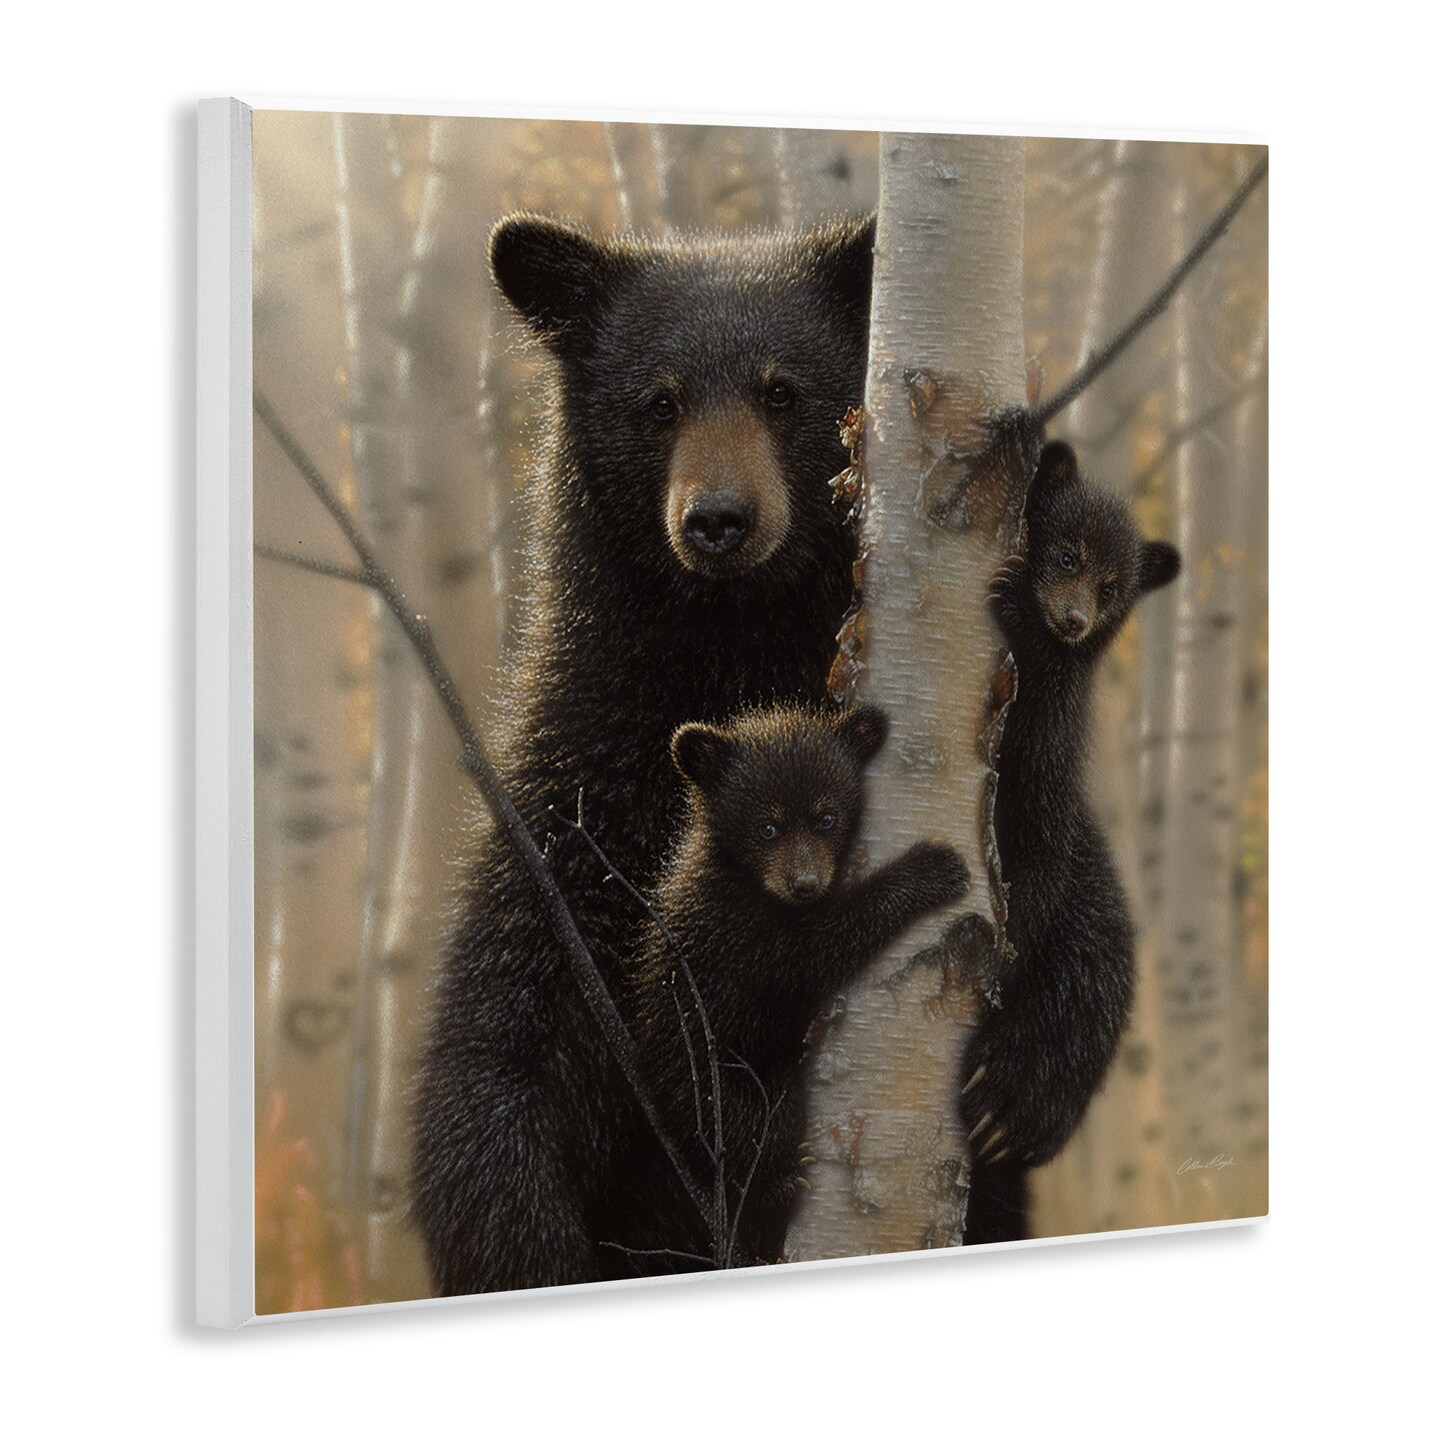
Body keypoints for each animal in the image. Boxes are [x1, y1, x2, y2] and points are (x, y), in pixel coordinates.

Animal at [411, 212, 877, 1296]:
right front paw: (520, 1235)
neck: (730, 654)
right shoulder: (581, 804)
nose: (718, 520)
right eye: (657, 402)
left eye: (782, 389)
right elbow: (505, 1037)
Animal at [608, 704, 970, 1275]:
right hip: (707, 1080)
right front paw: (929, 870)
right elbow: (810, 952)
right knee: (750, 1125)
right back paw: (776, 1183)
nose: (803, 883)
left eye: (826, 817)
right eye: (767, 826)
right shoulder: (736, 933)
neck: (747, 880)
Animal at [960, 438, 1181, 1245]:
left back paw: (1005, 1104)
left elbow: (1037, 864)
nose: (1076, 619)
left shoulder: (1049, 766)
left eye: (1114, 586)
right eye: (1064, 553)